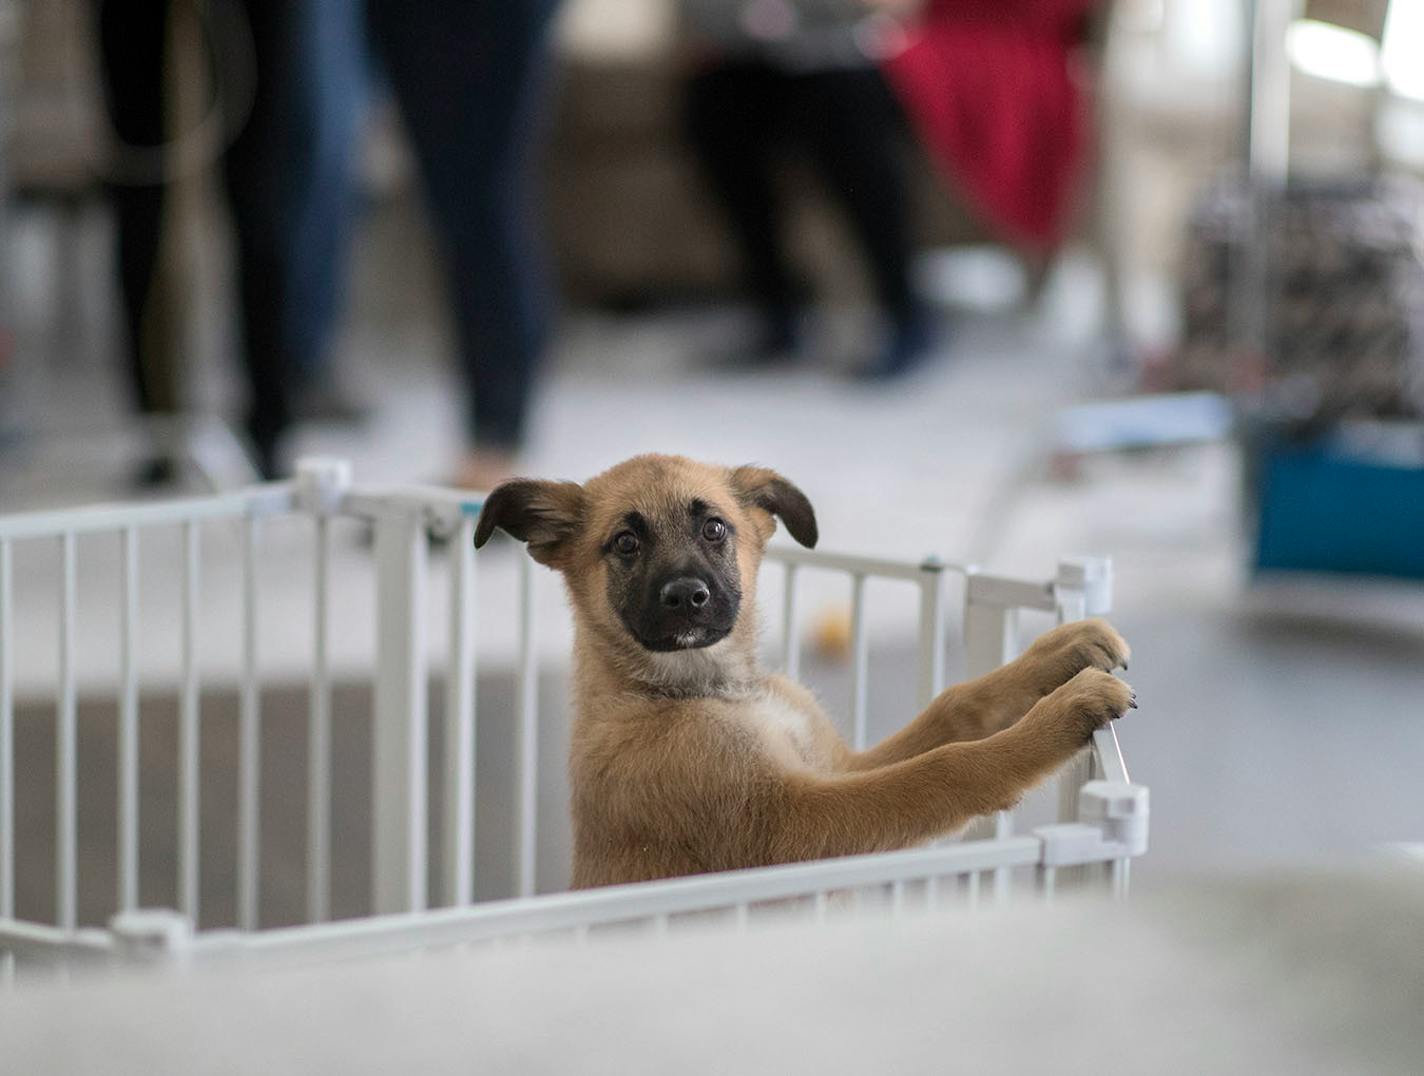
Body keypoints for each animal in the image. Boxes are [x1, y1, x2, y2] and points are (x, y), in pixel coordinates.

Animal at [478, 452, 1133, 882]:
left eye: (713, 528)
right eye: (625, 544)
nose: (687, 597)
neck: (711, 688)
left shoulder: (835, 766)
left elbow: (954, 708)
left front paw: (1061, 651)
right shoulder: (790, 822)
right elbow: (942, 768)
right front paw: (1063, 715)